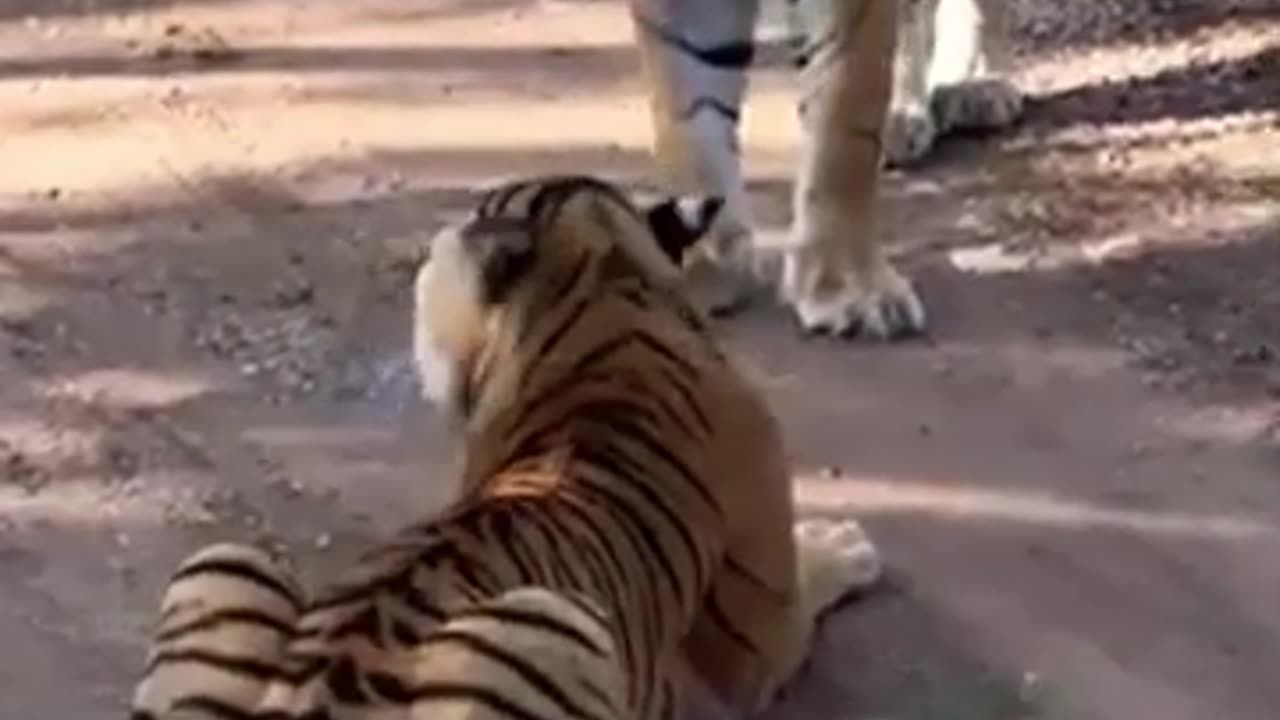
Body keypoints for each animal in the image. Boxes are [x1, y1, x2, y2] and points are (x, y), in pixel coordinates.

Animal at [135, 175, 885, 717]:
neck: (606, 286)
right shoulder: (763, 636)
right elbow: (815, 582)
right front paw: (846, 543)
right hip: (543, 619)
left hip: (226, 562)